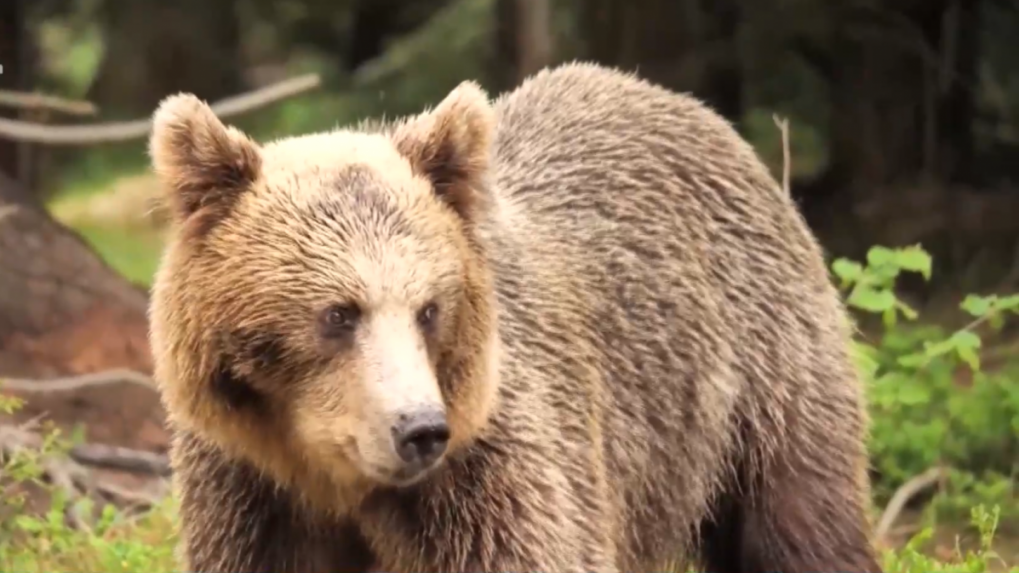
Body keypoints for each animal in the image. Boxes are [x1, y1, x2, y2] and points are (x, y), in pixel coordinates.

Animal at [145, 62, 884, 570]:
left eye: (429, 307)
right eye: (338, 312)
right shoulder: (251, 492)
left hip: (756, 374)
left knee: (799, 519)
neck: (335, 480)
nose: (420, 429)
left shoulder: (491, 471)